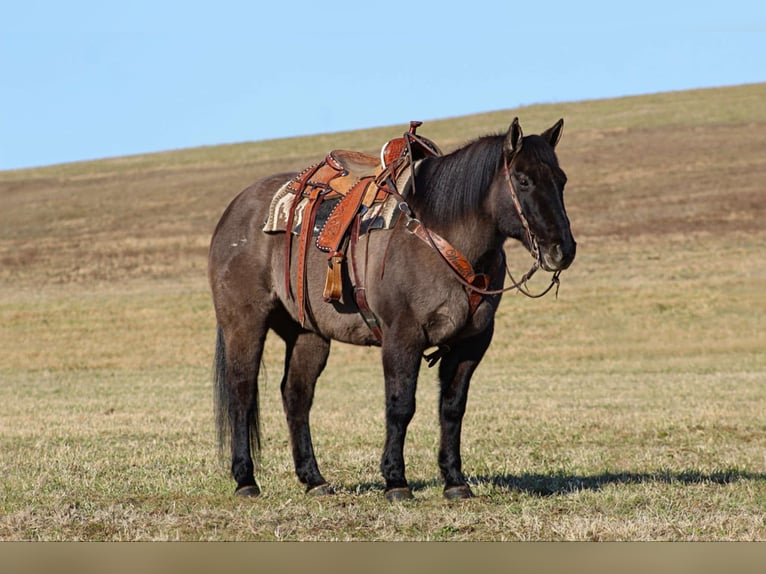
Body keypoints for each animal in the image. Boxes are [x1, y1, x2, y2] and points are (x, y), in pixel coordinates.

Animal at [210, 119, 576, 502]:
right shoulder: (403, 337)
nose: (562, 250)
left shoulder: (471, 344)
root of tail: (236, 209)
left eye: (561, 179)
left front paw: (455, 481)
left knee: (296, 395)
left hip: (307, 334)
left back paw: (314, 479)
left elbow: (452, 408)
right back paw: (246, 480)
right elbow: (400, 406)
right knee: (242, 392)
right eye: (523, 180)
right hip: (244, 324)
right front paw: (396, 480)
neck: (441, 236)